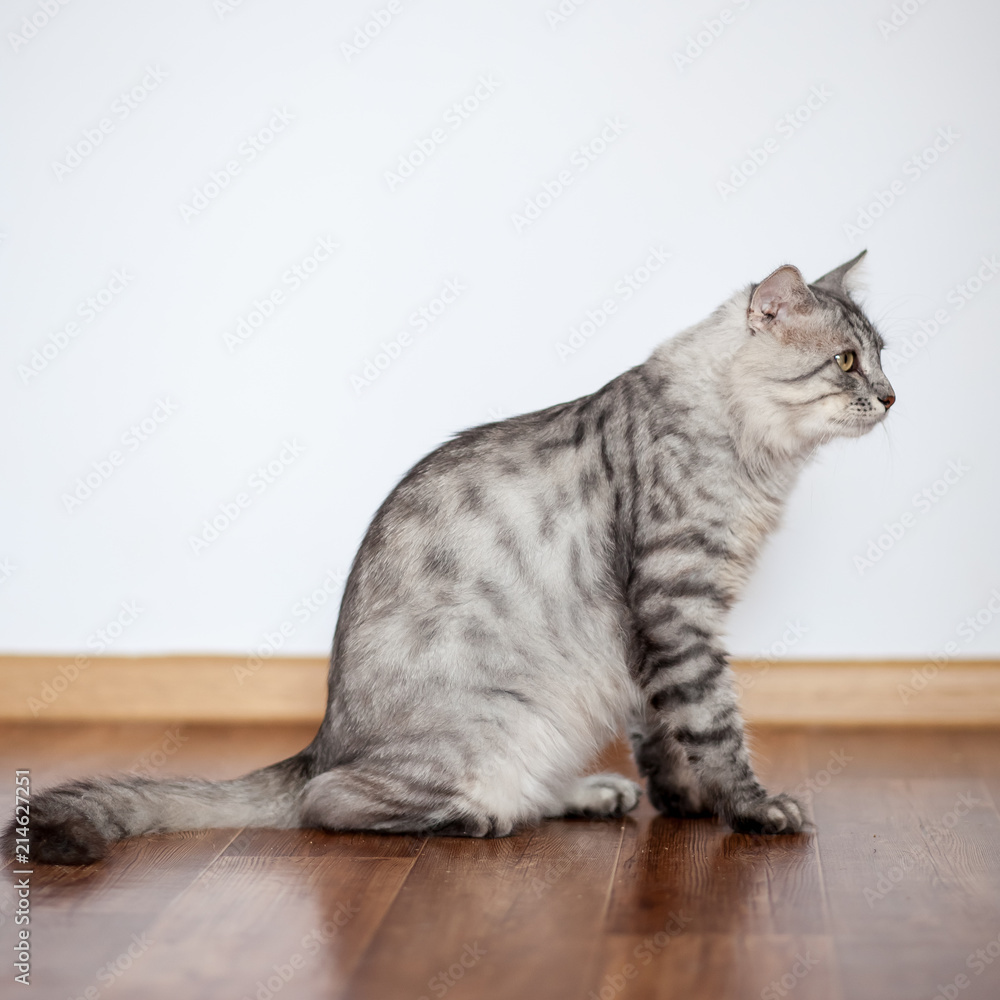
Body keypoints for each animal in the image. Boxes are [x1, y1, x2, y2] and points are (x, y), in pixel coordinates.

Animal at [3, 246, 896, 864]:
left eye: (883, 354)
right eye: (847, 361)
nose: (892, 396)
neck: (755, 459)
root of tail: (320, 738)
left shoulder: (654, 633)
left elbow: (663, 734)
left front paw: (685, 805)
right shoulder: (676, 607)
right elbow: (712, 725)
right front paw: (749, 809)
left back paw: (586, 794)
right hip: (493, 724)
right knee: (328, 803)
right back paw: (480, 814)